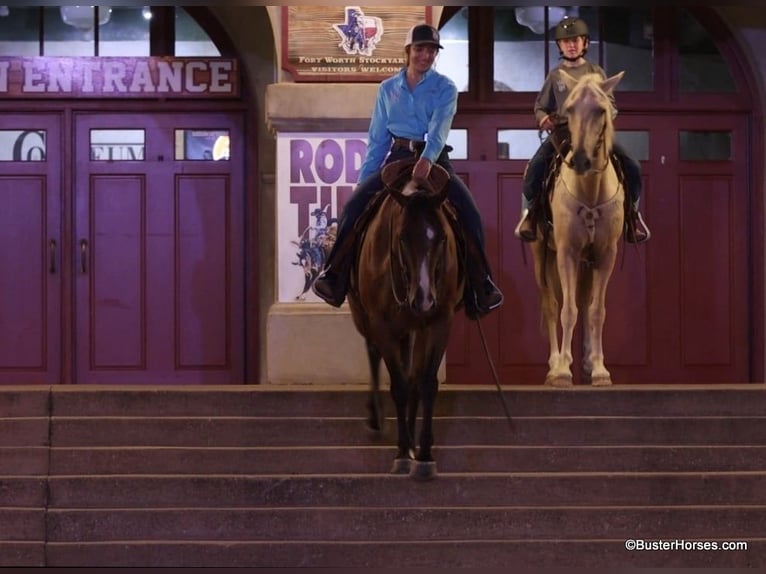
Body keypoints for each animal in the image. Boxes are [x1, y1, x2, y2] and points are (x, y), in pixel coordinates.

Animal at [347, 158, 464, 481]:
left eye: (441, 237)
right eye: (401, 237)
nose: (422, 299)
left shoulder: (439, 322)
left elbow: (423, 382)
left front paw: (422, 454)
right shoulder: (382, 325)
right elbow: (398, 385)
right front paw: (401, 453)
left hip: (414, 329)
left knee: (413, 374)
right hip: (365, 318)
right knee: (373, 353)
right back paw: (375, 418)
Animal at [530, 70, 626, 387]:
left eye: (601, 109)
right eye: (569, 109)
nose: (581, 160)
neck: (590, 191)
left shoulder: (605, 255)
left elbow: (596, 311)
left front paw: (599, 369)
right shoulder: (567, 254)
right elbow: (566, 310)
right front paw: (561, 370)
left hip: (587, 261)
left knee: (584, 303)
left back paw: (583, 361)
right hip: (542, 256)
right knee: (550, 304)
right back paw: (554, 363)